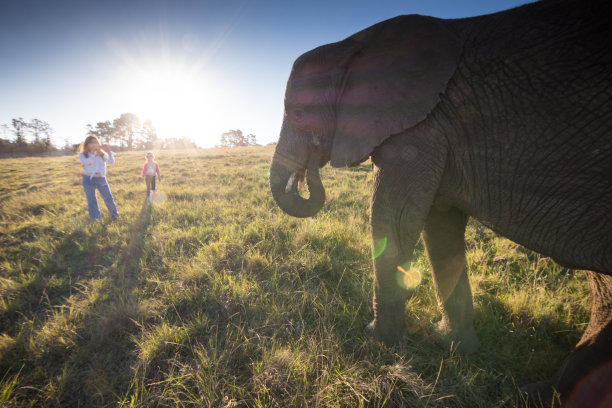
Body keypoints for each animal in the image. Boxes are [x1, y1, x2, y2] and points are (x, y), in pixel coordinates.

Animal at [268, 0, 612, 404]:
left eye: (298, 113)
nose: (305, 170)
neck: (351, 45)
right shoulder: (436, 129)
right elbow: (439, 226)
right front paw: (452, 346)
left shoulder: (420, 129)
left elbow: (394, 219)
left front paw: (380, 343)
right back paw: (540, 394)